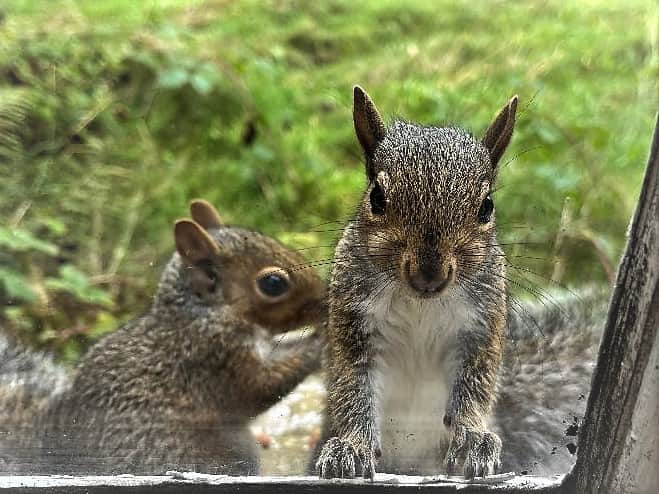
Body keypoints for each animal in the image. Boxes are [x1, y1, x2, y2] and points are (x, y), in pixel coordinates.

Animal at [0, 200, 330, 474]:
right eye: (273, 283)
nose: (324, 299)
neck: (203, 312)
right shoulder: (212, 357)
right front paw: (318, 341)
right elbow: (260, 384)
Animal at [316, 85, 520, 478]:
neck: (420, 304)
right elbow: (354, 389)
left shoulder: (480, 329)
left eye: (486, 206)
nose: (429, 274)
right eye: (376, 197)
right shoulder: (354, 324)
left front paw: (472, 440)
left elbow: (474, 390)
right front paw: (351, 447)